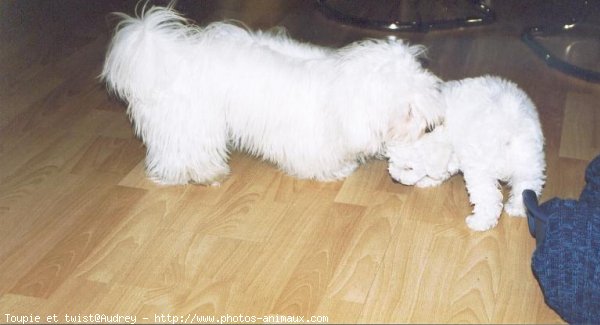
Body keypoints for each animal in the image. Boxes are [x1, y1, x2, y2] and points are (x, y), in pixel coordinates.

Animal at [101, 6, 442, 185]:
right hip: (191, 121)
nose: (431, 127)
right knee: (182, 149)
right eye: (408, 111)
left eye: (426, 98)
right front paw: (334, 171)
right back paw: (201, 172)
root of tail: (166, 53)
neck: (342, 95)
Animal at [386, 75, 548, 230]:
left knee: (489, 197)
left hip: (480, 168)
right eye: (392, 162)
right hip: (528, 160)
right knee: (528, 184)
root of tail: (510, 124)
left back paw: (480, 222)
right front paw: (428, 180)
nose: (396, 179)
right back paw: (517, 208)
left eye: (409, 168)